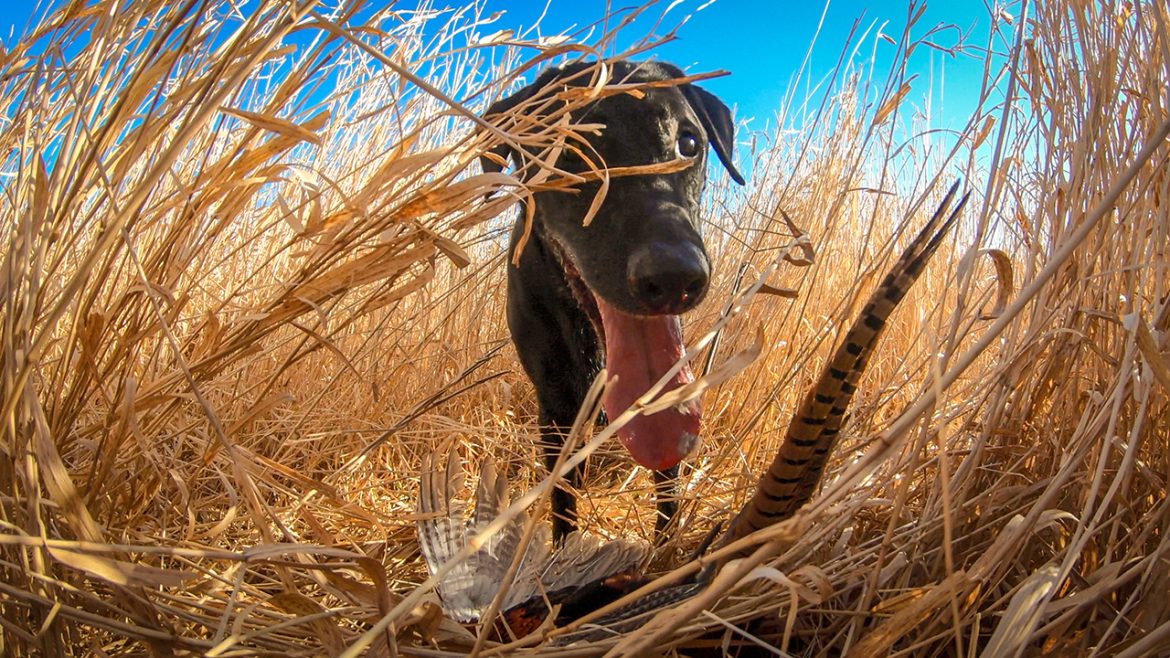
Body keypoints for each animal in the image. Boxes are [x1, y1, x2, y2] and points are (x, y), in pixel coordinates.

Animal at [482, 60, 739, 538]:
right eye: (571, 147)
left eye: (689, 142)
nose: (674, 276)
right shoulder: (556, 402)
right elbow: (563, 493)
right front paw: (565, 549)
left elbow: (668, 482)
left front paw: (666, 545)